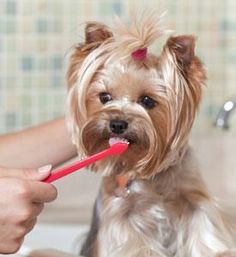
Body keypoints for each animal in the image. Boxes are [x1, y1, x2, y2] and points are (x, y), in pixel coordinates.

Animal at [65, 11, 235, 256]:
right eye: (105, 97)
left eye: (147, 101)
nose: (117, 123)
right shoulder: (121, 215)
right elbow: (135, 245)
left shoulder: (194, 200)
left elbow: (204, 231)